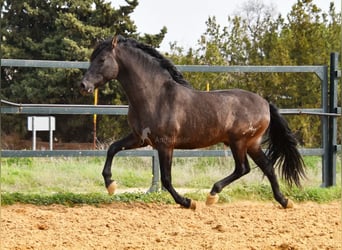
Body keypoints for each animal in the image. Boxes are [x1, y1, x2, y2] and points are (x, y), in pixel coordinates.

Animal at [80, 35, 304, 209]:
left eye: (102, 59)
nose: (84, 85)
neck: (155, 97)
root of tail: (265, 103)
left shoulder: (165, 144)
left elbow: (166, 179)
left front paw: (188, 202)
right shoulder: (140, 139)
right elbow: (112, 148)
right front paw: (110, 184)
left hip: (239, 142)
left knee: (243, 168)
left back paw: (212, 195)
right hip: (252, 143)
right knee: (267, 167)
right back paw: (285, 201)